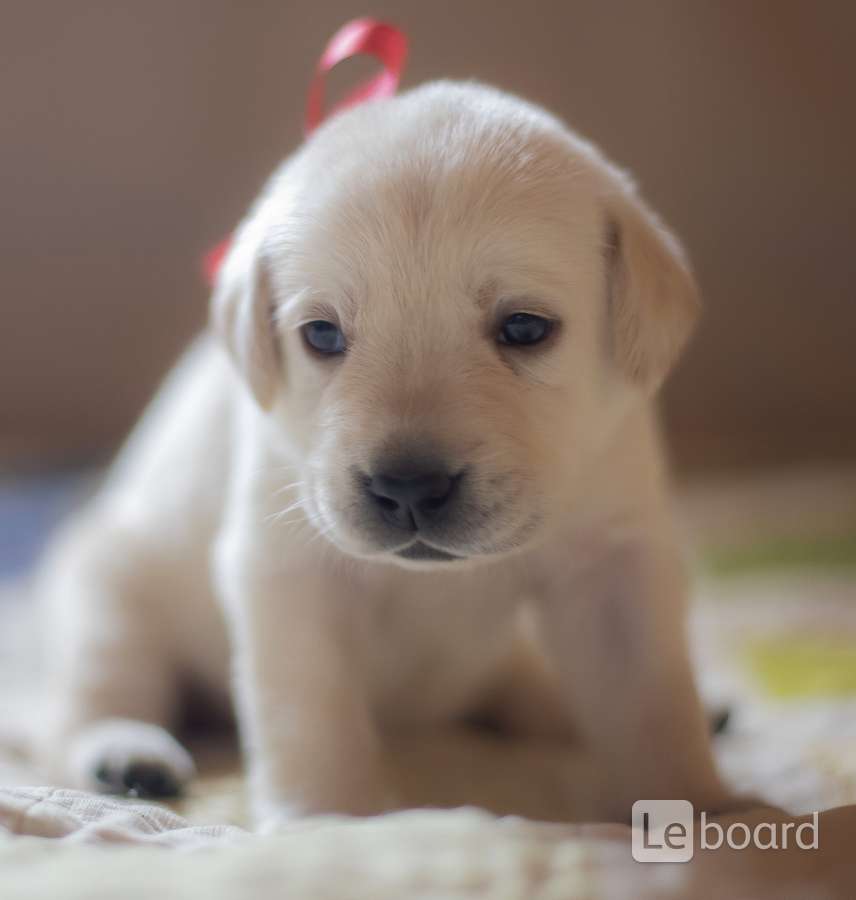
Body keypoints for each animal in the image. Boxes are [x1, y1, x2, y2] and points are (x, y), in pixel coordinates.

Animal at [40, 82, 732, 824]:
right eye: (321, 334)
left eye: (524, 328)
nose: (409, 487)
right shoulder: (289, 566)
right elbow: (309, 708)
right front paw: (325, 819)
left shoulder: (613, 558)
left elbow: (647, 696)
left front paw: (697, 806)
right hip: (109, 596)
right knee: (95, 696)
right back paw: (126, 755)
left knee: (522, 685)